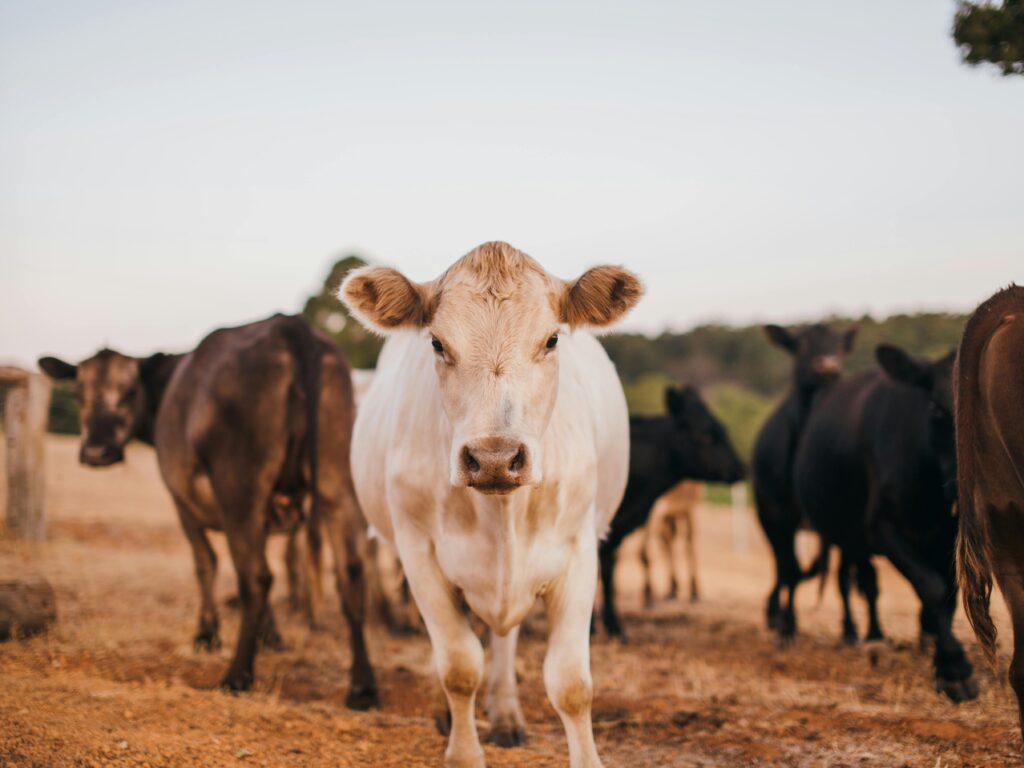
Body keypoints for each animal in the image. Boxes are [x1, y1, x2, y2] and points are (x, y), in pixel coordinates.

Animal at [38, 314, 378, 708]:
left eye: (130, 393)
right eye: (77, 394)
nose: (96, 452)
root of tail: (288, 325)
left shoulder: (181, 499)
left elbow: (205, 562)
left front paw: (207, 634)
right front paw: (271, 635)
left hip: (239, 487)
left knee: (255, 577)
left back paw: (237, 675)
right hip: (338, 480)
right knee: (349, 573)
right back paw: (363, 687)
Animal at [338, 241, 642, 768]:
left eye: (552, 340)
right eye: (438, 344)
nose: (495, 459)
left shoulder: (579, 550)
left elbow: (571, 683)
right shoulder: (418, 553)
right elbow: (459, 665)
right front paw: (462, 750)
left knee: (504, 638)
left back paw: (505, 714)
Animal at [597, 386, 746, 638]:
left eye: (722, 430)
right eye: (705, 435)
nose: (741, 468)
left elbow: (607, 568)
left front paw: (613, 626)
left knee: (686, 542)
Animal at [752, 323, 856, 641]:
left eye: (840, 346)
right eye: (802, 345)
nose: (828, 366)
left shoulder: (838, 517)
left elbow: (839, 574)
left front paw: (850, 628)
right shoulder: (779, 513)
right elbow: (790, 568)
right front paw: (787, 623)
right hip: (768, 517)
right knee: (782, 565)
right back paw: (776, 612)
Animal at [793, 343, 978, 702]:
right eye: (936, 409)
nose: (964, 482)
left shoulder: (950, 535)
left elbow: (947, 593)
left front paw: (937, 653)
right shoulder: (882, 528)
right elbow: (932, 587)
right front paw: (954, 670)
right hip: (847, 535)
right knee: (856, 581)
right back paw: (866, 635)